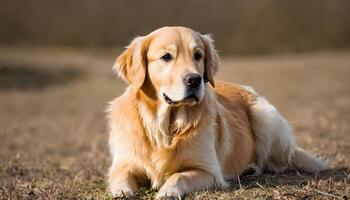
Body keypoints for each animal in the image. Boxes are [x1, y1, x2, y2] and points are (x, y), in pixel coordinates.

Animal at [107, 26, 328, 198]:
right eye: (166, 57)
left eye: (198, 55)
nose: (194, 80)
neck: (166, 127)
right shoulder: (123, 163)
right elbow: (120, 175)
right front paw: (122, 190)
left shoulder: (209, 172)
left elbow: (179, 176)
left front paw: (168, 190)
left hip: (266, 118)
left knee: (276, 162)